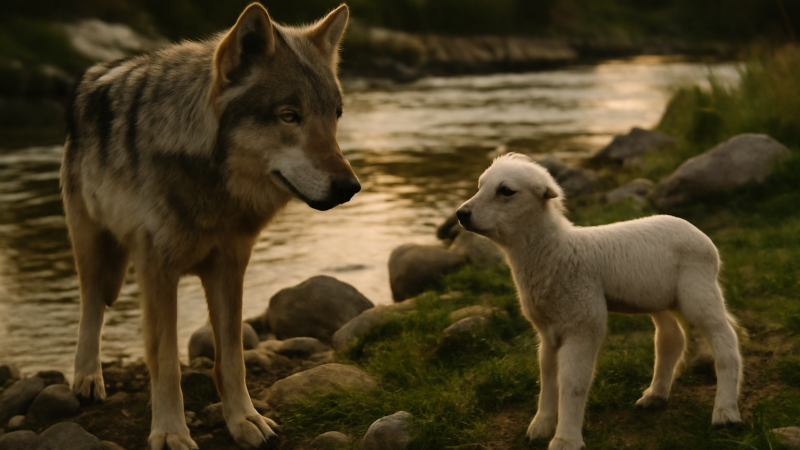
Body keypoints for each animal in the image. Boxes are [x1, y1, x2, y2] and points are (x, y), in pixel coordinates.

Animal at [61, 3, 358, 449]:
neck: (215, 190)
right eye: (289, 116)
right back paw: (86, 379)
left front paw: (244, 420)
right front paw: (170, 432)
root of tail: (94, 72)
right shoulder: (158, 272)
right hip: (94, 249)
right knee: (91, 307)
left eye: (335, 115)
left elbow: (232, 358)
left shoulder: (230, 267)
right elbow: (166, 363)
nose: (350, 187)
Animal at [457, 153, 742, 450]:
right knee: (671, 338)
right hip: (659, 297)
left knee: (725, 339)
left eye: (506, 191)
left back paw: (726, 412)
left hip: (698, 289)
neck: (556, 252)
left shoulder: (583, 323)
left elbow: (573, 381)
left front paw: (565, 439)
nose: (461, 214)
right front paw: (541, 426)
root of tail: (699, 233)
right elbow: (548, 376)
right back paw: (655, 395)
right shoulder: (548, 330)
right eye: (480, 185)